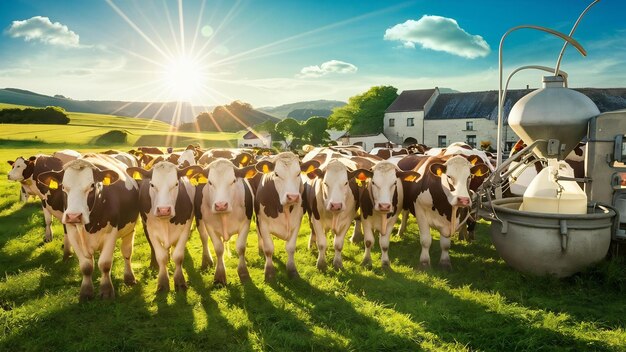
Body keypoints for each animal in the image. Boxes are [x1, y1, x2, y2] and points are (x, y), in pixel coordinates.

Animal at [37, 155, 140, 300]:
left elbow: (105, 264)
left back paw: (129, 277)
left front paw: (106, 290)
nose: (74, 216)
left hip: (129, 231)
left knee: (127, 253)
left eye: (92, 186)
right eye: (63, 187)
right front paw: (86, 292)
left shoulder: (111, 234)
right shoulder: (72, 233)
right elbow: (86, 266)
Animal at [127, 162, 202, 292]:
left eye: (176, 184)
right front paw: (162, 282)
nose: (163, 210)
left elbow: (178, 256)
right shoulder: (151, 231)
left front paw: (180, 281)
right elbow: (161, 257)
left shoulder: (185, 229)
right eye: (152, 185)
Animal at [251, 151, 316, 280]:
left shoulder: (297, 222)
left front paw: (292, 270)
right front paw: (269, 272)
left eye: (298, 173)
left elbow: (290, 248)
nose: (293, 197)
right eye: (276, 174)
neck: (284, 209)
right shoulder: (263, 223)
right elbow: (269, 248)